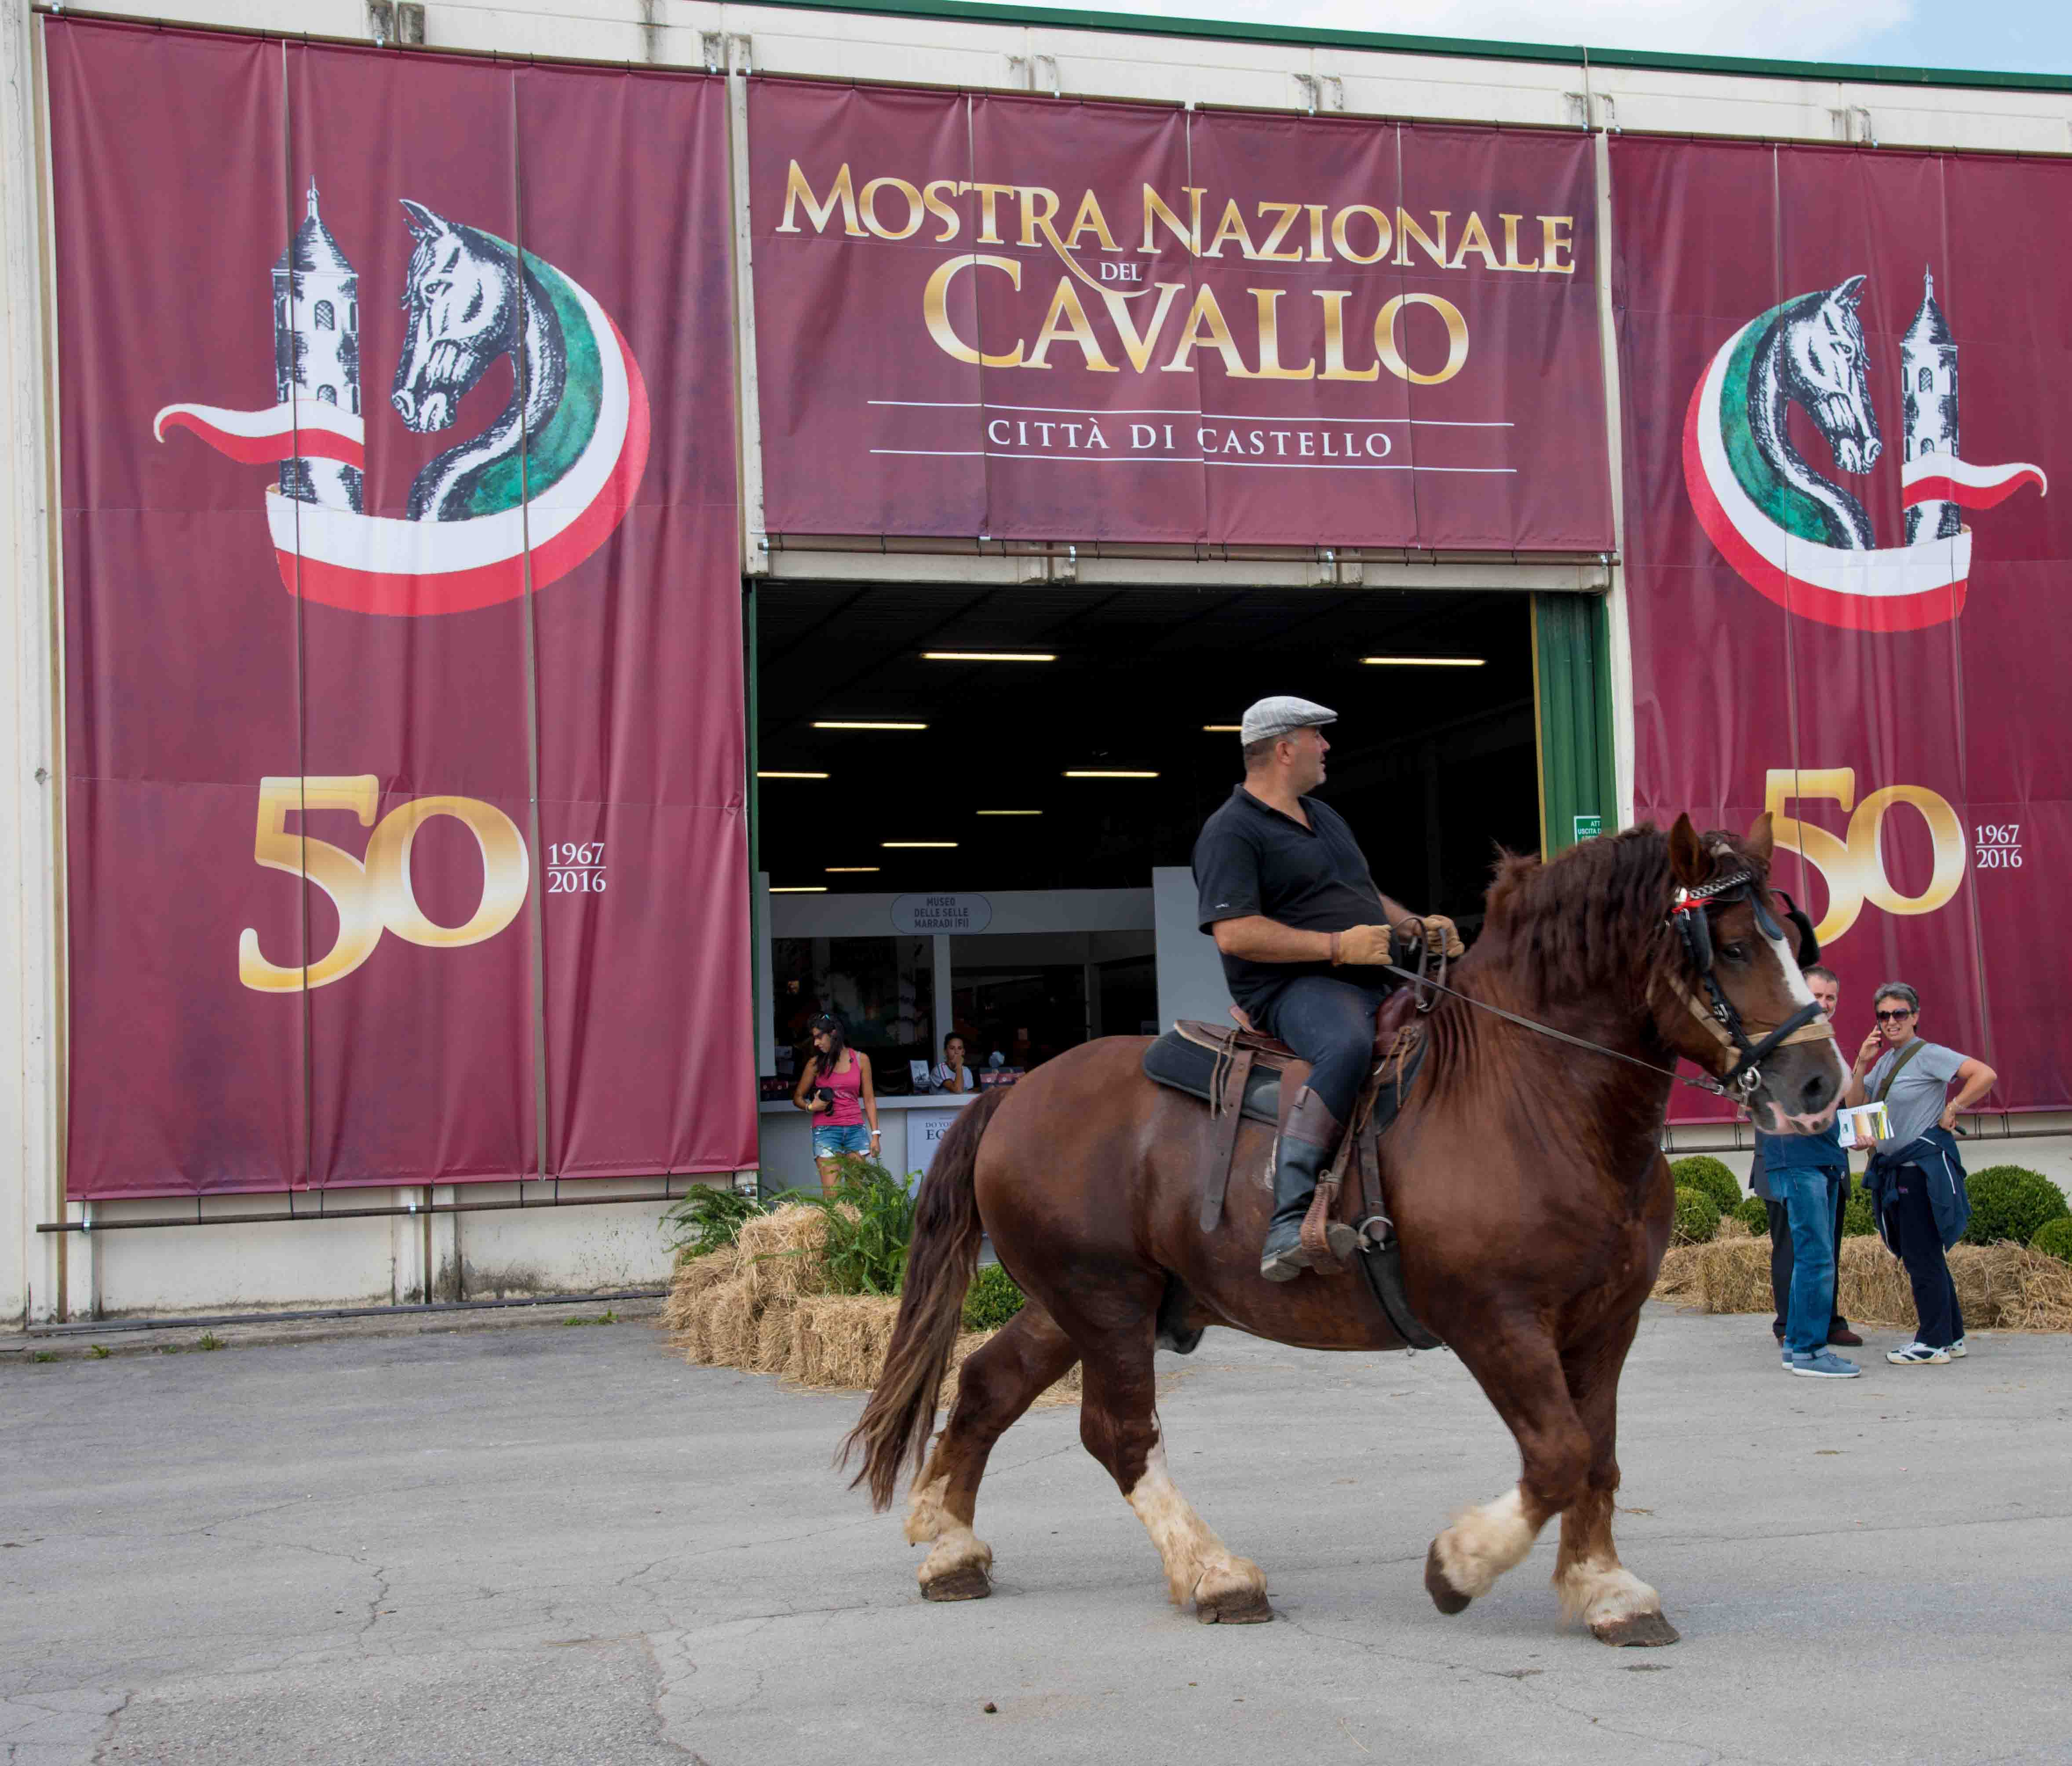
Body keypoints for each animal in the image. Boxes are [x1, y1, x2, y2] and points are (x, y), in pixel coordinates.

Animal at [841, 812, 1848, 1642]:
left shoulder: (1607, 1319)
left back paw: (950, 1546)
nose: (1817, 1081)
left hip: (1073, 1304)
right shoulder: (1494, 1320)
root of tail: (1014, 1097)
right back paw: (1213, 1573)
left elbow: (1594, 1456)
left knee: (987, 1385)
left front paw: (1603, 1587)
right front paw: (1459, 1565)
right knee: (1117, 1432)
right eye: (1728, 945)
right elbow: (1558, 1453)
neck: (1530, 1094)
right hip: (1105, 1301)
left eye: (1788, 937)